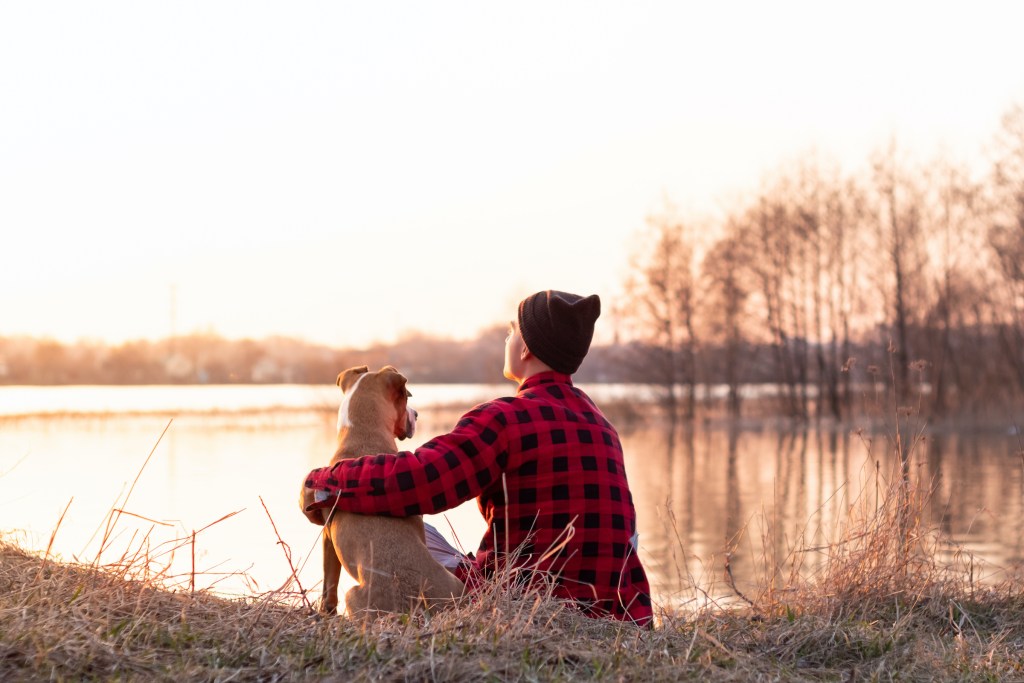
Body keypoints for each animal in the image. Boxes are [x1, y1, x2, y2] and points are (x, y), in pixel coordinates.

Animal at [313, 366, 466, 618]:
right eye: (407, 398)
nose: (417, 414)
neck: (364, 434)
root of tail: (415, 605)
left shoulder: (327, 536)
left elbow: (329, 582)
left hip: (354, 595)